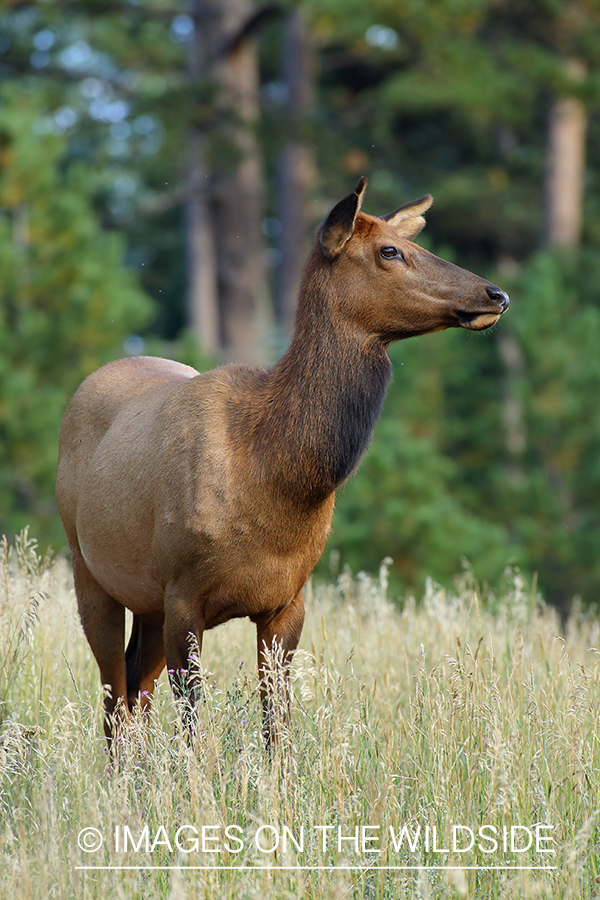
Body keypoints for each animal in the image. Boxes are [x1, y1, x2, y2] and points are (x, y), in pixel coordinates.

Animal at [56, 176, 508, 744]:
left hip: (147, 600)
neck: (273, 474)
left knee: (136, 691)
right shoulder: (182, 592)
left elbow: (278, 723)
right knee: (115, 701)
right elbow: (191, 723)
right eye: (390, 251)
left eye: (413, 243)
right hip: (89, 569)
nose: (496, 294)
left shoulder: (288, 600)